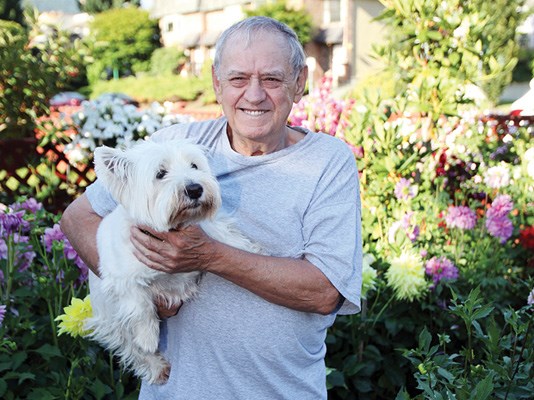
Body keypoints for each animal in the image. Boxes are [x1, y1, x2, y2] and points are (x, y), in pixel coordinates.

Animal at [85, 138, 264, 384]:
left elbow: (224, 235)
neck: (173, 228)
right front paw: (148, 337)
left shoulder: (205, 230)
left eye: (194, 166)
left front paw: (249, 248)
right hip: (110, 319)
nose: (195, 189)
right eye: (160, 174)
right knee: (130, 345)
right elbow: (139, 304)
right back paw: (155, 366)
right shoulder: (120, 278)